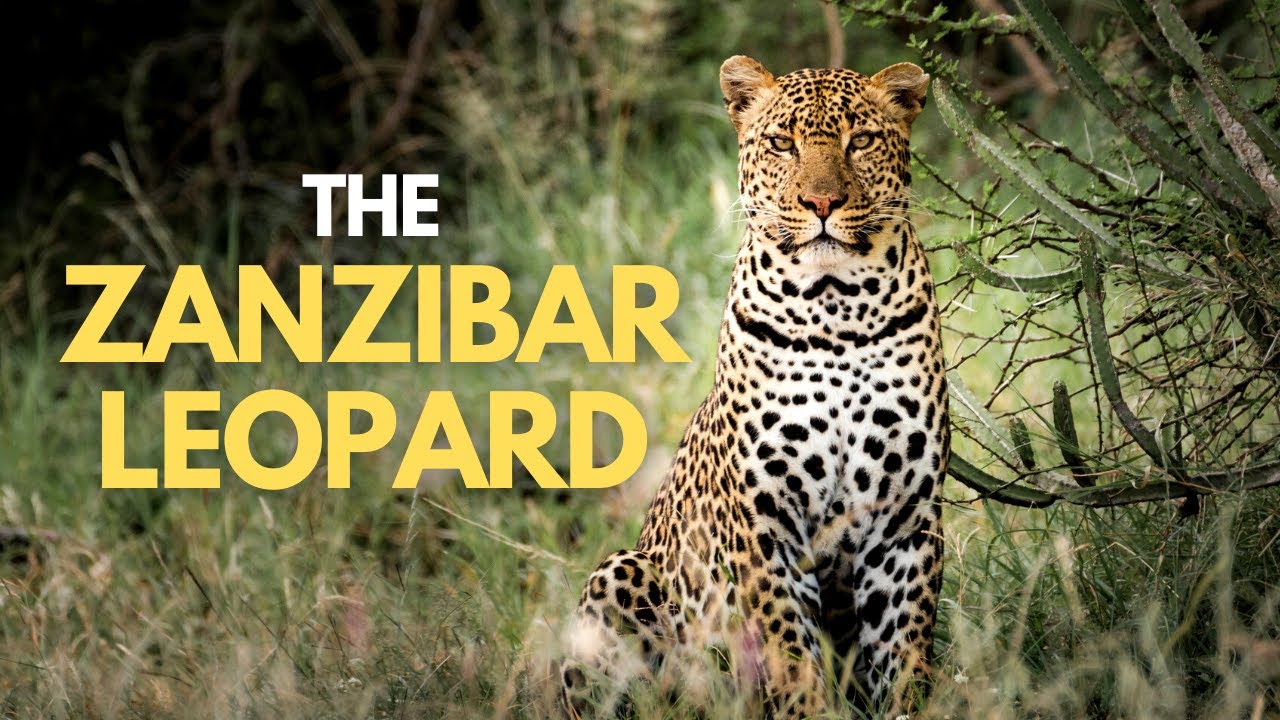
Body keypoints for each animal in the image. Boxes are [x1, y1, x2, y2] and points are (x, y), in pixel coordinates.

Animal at [561, 55, 948, 719]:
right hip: (622, 571)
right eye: (782, 143)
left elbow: (902, 649)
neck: (836, 310)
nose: (822, 201)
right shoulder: (763, 524)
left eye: (860, 140)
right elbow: (790, 650)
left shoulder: (905, 520)